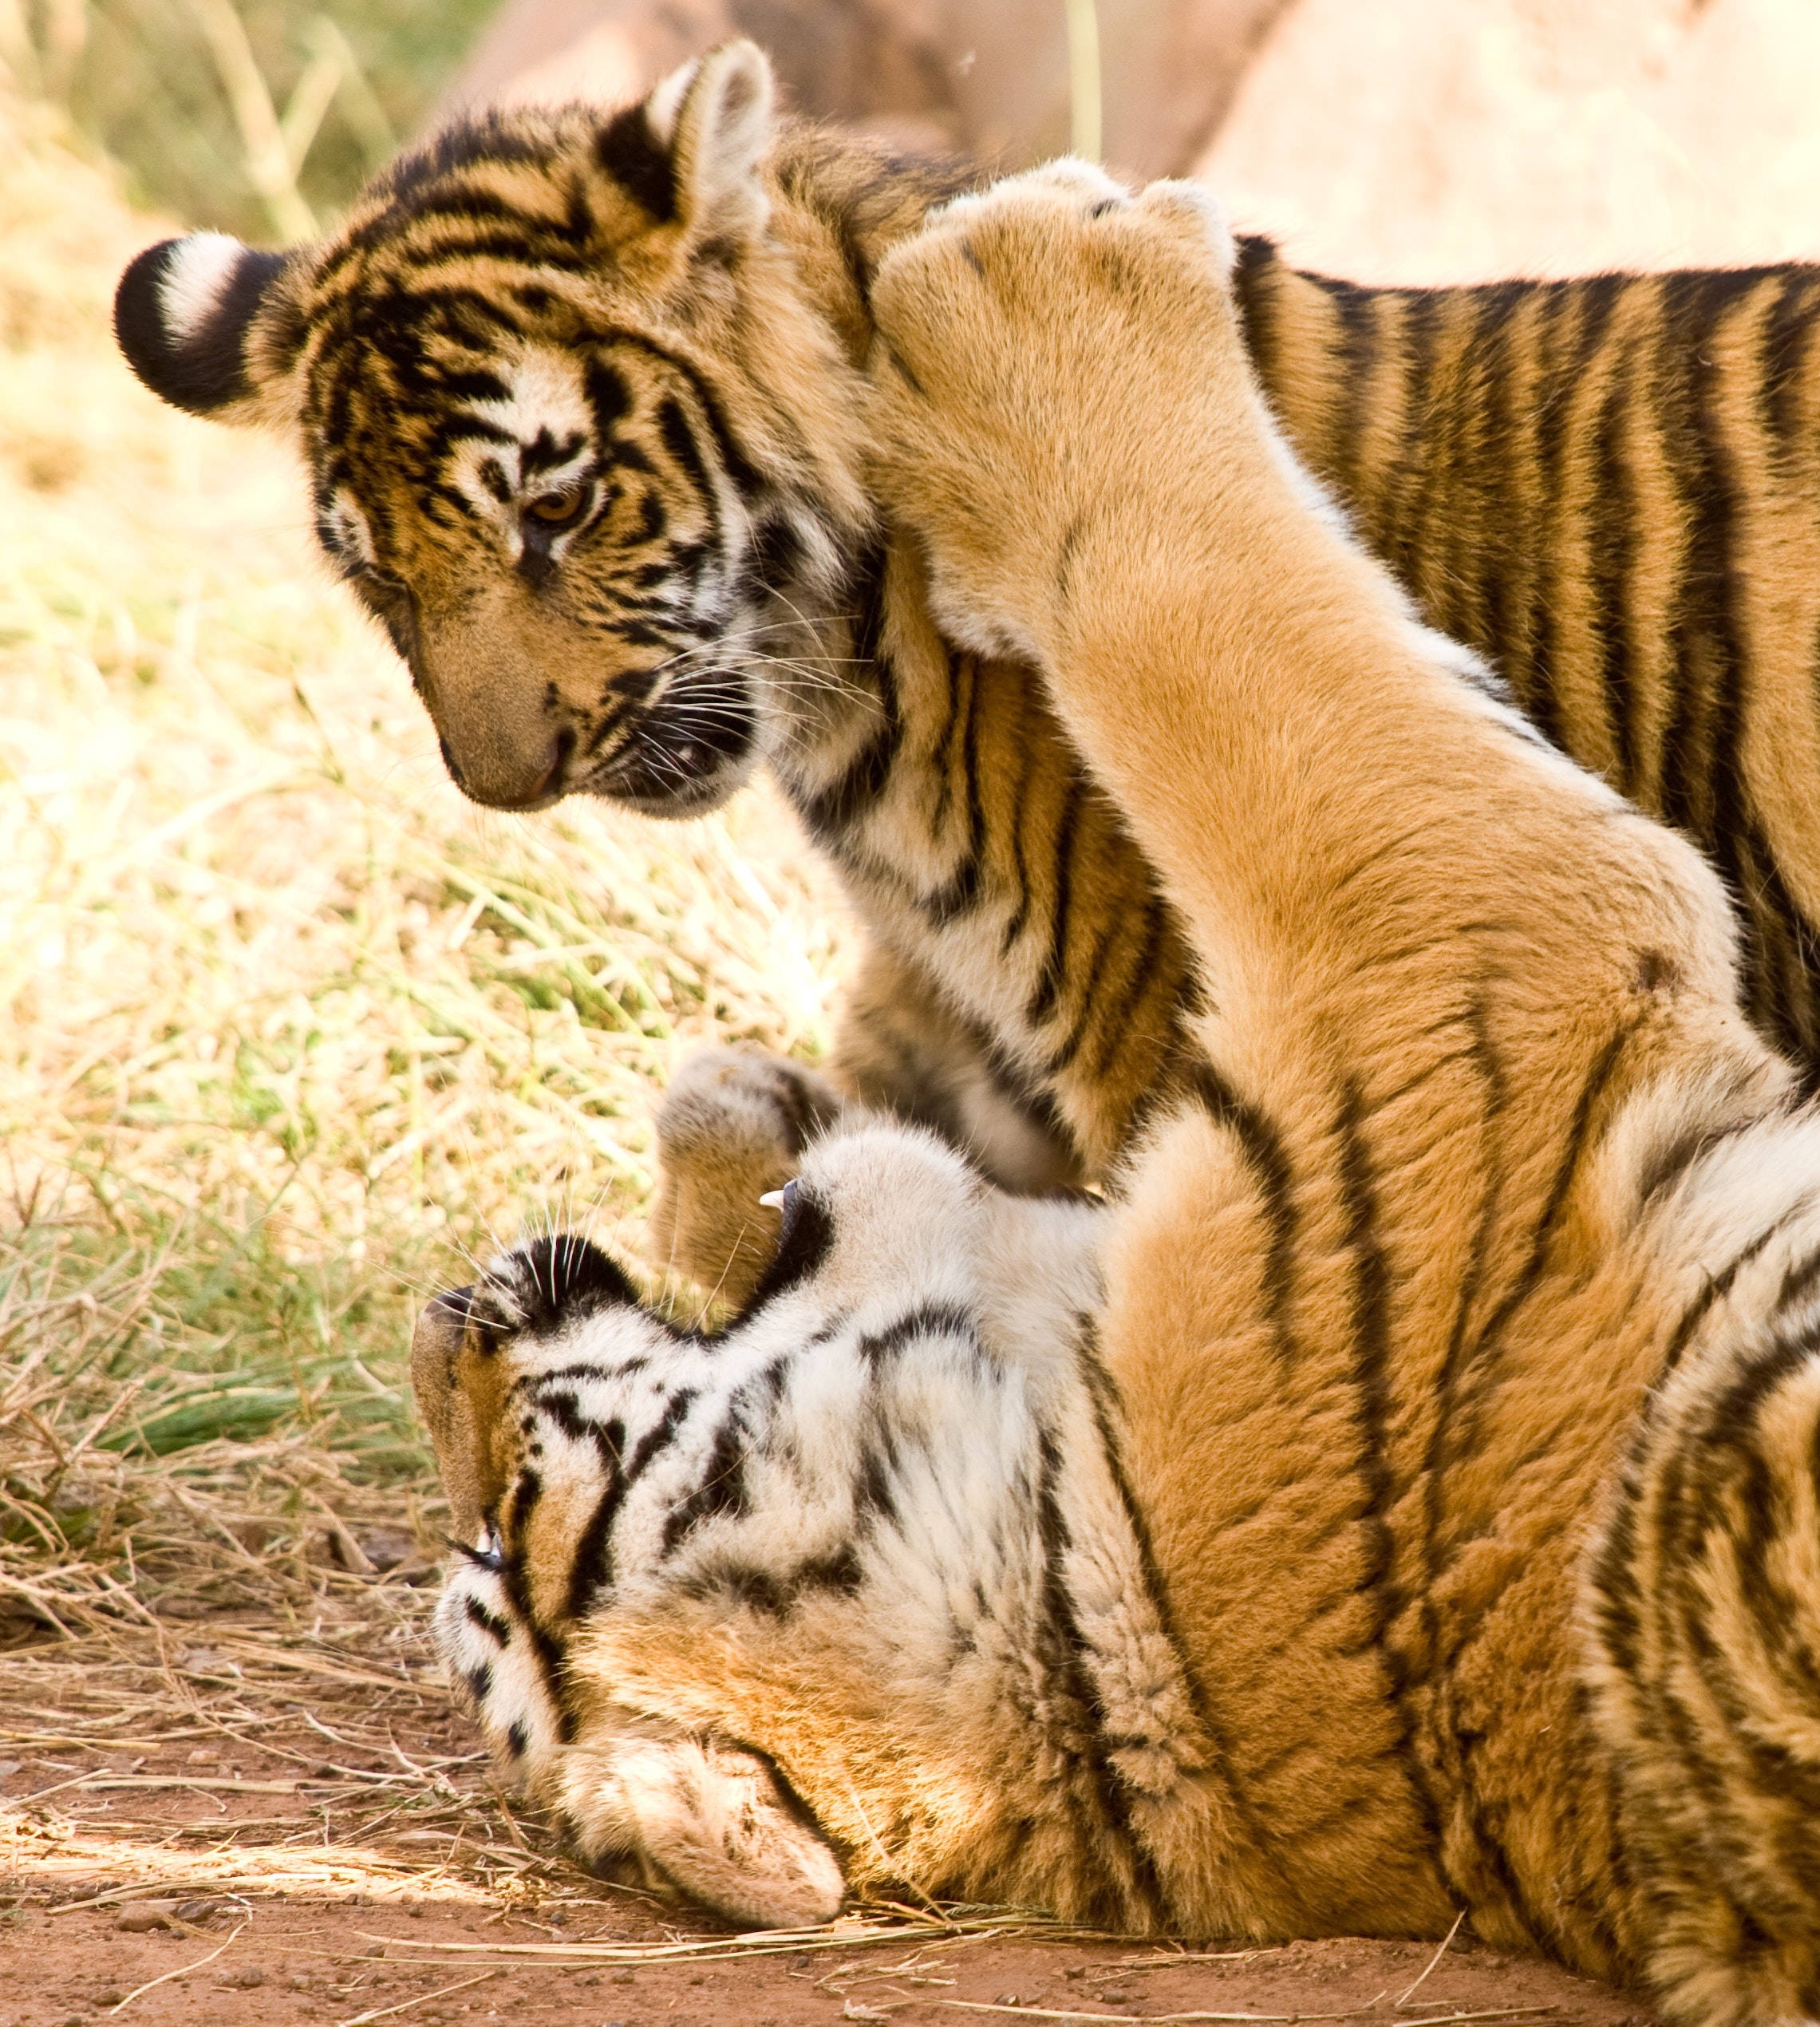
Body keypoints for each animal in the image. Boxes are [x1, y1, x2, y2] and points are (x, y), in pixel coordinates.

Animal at [111, 41, 1820, 1307]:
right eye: (377, 575)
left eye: (555, 504)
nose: (507, 784)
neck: (846, 709)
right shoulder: (961, 1047)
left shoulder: (1175, 1054)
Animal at [413, 161, 1820, 2026]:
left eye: (496, 1528)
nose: (451, 1318)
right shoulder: (1452, 940)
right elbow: (1186, 629)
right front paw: (1044, 272)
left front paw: (749, 1122)